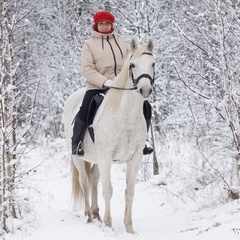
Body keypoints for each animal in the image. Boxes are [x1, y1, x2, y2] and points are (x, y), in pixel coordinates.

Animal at [62, 39, 155, 232]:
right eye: (132, 65)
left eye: (153, 64)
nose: (145, 89)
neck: (126, 116)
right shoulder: (106, 157)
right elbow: (108, 190)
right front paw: (109, 225)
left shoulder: (134, 158)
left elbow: (129, 191)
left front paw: (129, 228)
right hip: (78, 157)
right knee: (84, 181)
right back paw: (89, 215)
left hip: (97, 159)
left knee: (93, 179)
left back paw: (96, 213)